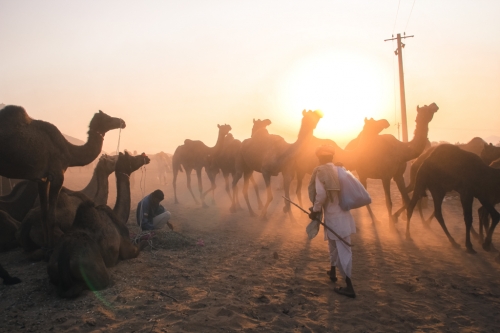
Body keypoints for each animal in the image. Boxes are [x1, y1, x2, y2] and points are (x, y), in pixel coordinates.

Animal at [0, 105, 125, 246]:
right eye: (108, 118)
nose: (122, 122)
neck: (69, 151)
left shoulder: (42, 179)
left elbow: (43, 214)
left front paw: (46, 245)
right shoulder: (57, 175)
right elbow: (51, 217)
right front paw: (51, 248)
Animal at [47, 150, 149, 296]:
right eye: (130, 157)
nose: (145, 156)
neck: (118, 215)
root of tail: (63, 260)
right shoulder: (127, 248)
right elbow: (141, 245)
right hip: (95, 271)